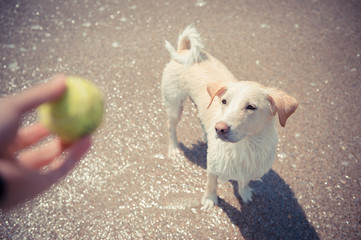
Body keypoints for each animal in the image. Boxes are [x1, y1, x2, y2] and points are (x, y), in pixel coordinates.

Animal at [162, 24, 296, 208]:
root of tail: (184, 50)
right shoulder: (212, 166)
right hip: (175, 105)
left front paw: (244, 193)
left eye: (251, 107)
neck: (244, 145)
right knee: (171, 127)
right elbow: (211, 183)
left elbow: (244, 181)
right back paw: (174, 149)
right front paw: (210, 199)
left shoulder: (249, 169)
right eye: (224, 101)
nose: (219, 129)